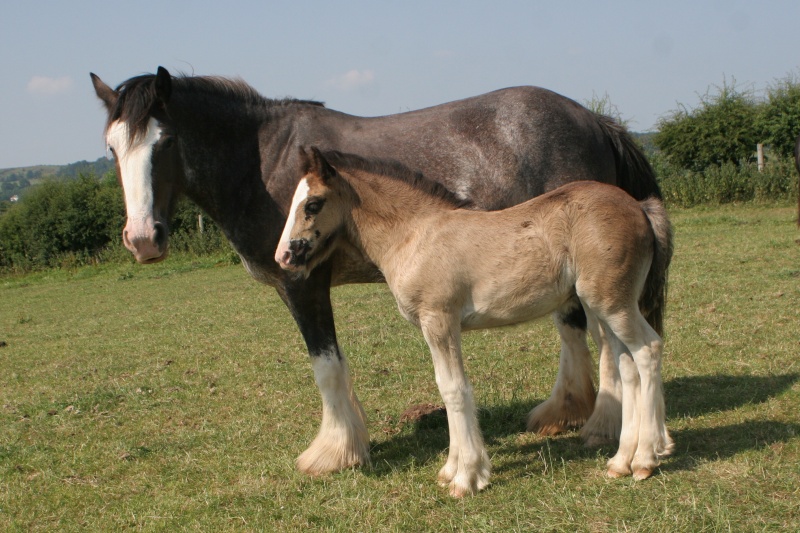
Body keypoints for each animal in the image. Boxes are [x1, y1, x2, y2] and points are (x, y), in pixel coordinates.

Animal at [92, 66, 664, 474]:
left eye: (164, 142)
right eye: (112, 148)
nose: (143, 239)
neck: (261, 158)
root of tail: (596, 121)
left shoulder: (303, 284)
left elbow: (325, 366)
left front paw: (334, 452)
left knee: (608, 343)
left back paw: (605, 428)